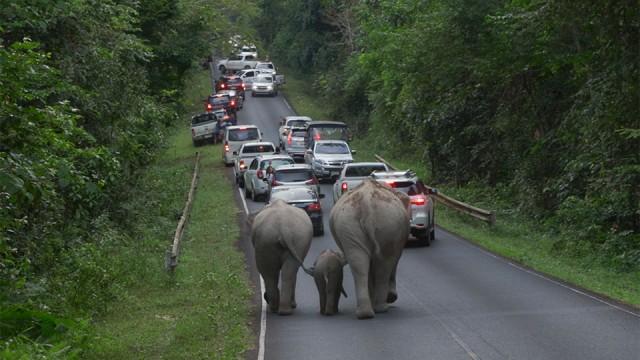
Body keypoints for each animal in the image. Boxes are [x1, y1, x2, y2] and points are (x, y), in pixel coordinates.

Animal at [330, 179, 410, 318]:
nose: (392, 297)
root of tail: (366, 203)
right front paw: (391, 297)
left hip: (356, 224)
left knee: (359, 263)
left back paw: (366, 313)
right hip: (385, 224)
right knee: (384, 263)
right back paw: (380, 308)